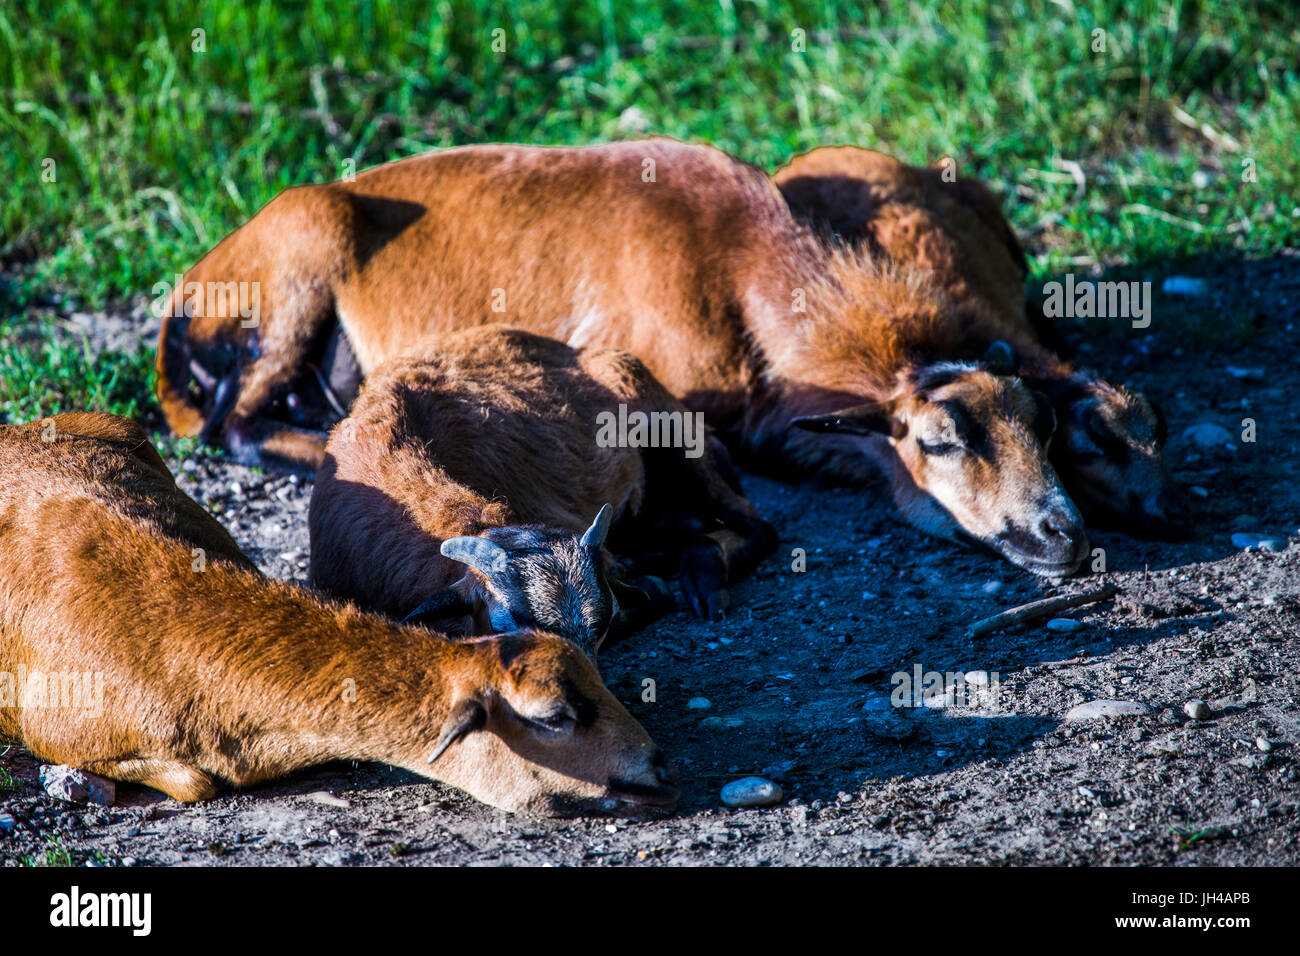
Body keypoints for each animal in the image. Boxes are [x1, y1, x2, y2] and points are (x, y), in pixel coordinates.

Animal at [155, 138, 1086, 574]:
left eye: (1041, 426)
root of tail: (186, 295)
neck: (739, 265)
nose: (1063, 532)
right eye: (938, 440)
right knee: (233, 425)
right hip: (304, 245)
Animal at [308, 326, 777, 647]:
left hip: (673, 433)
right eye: (508, 627)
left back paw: (703, 578)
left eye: (599, 629)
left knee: (757, 526)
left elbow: (651, 594)